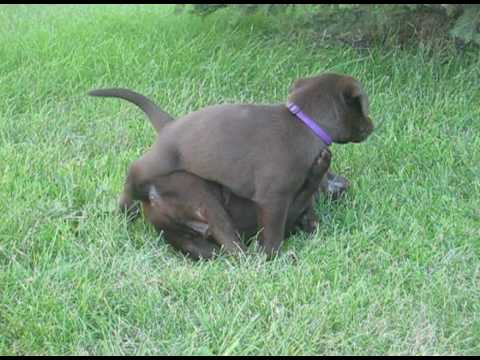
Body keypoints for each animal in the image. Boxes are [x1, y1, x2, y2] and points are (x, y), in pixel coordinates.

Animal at [142, 148, 330, 260]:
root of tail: (151, 192)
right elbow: (308, 189)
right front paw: (322, 162)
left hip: (188, 240)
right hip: (208, 204)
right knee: (239, 251)